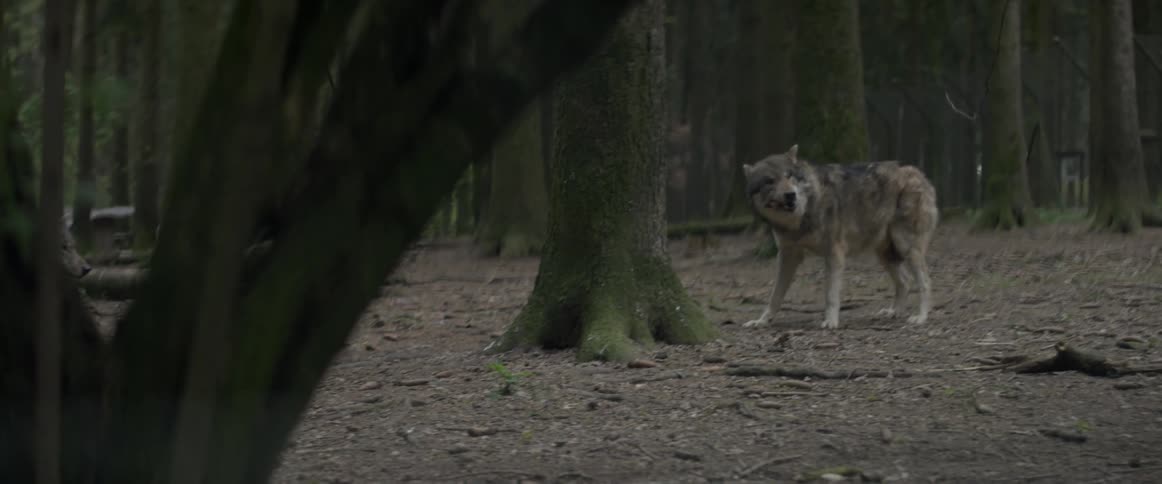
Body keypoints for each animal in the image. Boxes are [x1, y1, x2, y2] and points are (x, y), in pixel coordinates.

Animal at [741, 144, 938, 330]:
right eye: (769, 181)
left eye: (789, 176)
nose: (790, 195)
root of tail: (919, 173)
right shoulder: (788, 256)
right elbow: (775, 296)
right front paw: (762, 321)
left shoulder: (834, 253)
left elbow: (830, 294)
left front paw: (830, 321)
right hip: (885, 255)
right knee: (905, 282)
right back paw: (894, 312)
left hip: (905, 246)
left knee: (926, 281)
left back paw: (921, 317)